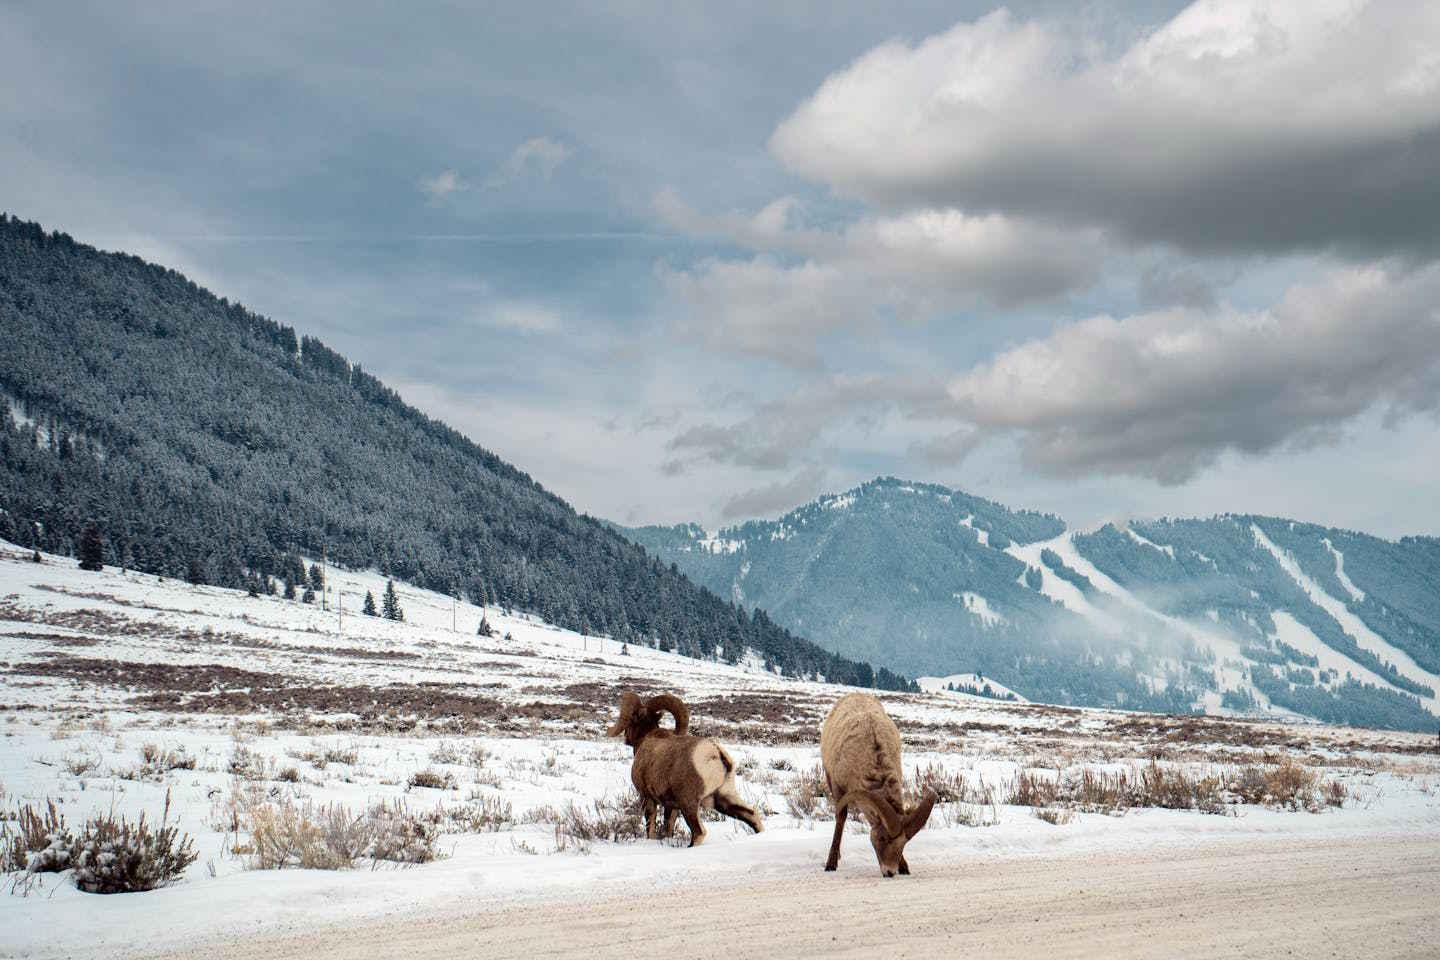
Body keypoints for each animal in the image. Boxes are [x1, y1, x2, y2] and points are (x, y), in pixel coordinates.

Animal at [607, 690, 766, 846]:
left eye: (631, 719)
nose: (626, 738)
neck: (646, 739)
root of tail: (715, 753)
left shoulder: (647, 797)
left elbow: (650, 827)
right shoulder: (671, 806)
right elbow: (668, 826)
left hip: (689, 804)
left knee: (699, 832)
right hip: (724, 799)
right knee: (752, 815)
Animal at [817, 690, 938, 880]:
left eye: (904, 843)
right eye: (881, 838)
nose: (890, 872)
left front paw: (904, 867)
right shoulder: (838, 787)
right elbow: (841, 818)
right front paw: (831, 864)